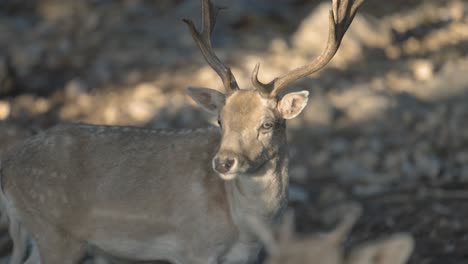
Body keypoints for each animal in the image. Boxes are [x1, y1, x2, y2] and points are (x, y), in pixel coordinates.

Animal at [0, 0, 364, 262]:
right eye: (220, 120)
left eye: (267, 124)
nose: (223, 162)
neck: (244, 228)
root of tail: (8, 168)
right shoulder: (195, 247)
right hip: (55, 233)